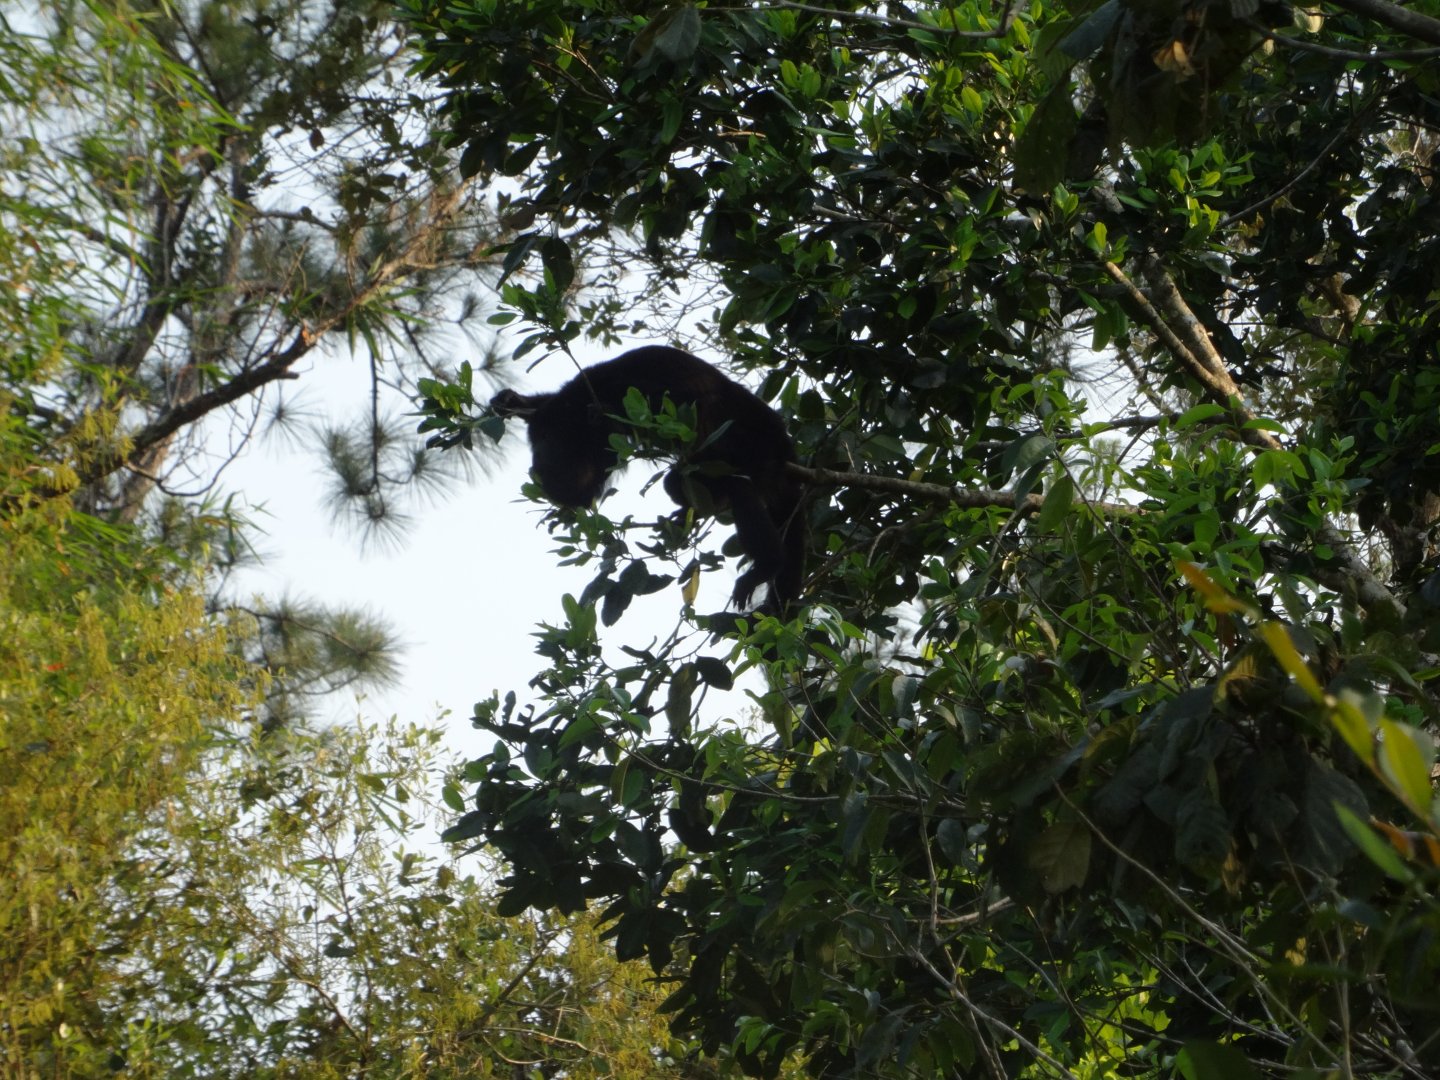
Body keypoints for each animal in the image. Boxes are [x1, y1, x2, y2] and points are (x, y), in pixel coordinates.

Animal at [490, 345, 805, 610]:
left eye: (547, 441)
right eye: (537, 442)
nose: (538, 467)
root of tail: (783, 440)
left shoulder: (632, 397)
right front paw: (512, 401)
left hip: (755, 448)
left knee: (738, 483)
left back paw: (767, 564)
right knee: (679, 484)